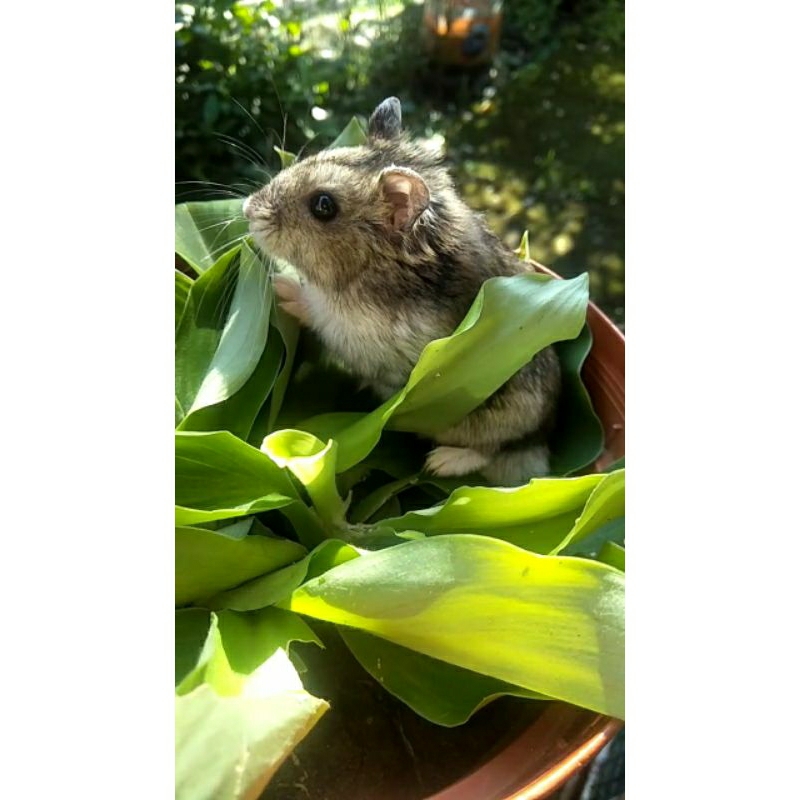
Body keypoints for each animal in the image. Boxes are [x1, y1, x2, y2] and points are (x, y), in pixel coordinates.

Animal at [243, 97, 561, 485]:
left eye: (323, 205)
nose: (247, 209)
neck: (379, 266)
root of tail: (542, 443)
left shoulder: (358, 334)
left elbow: (318, 310)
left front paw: (281, 285)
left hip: (500, 417)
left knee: (492, 451)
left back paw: (441, 462)